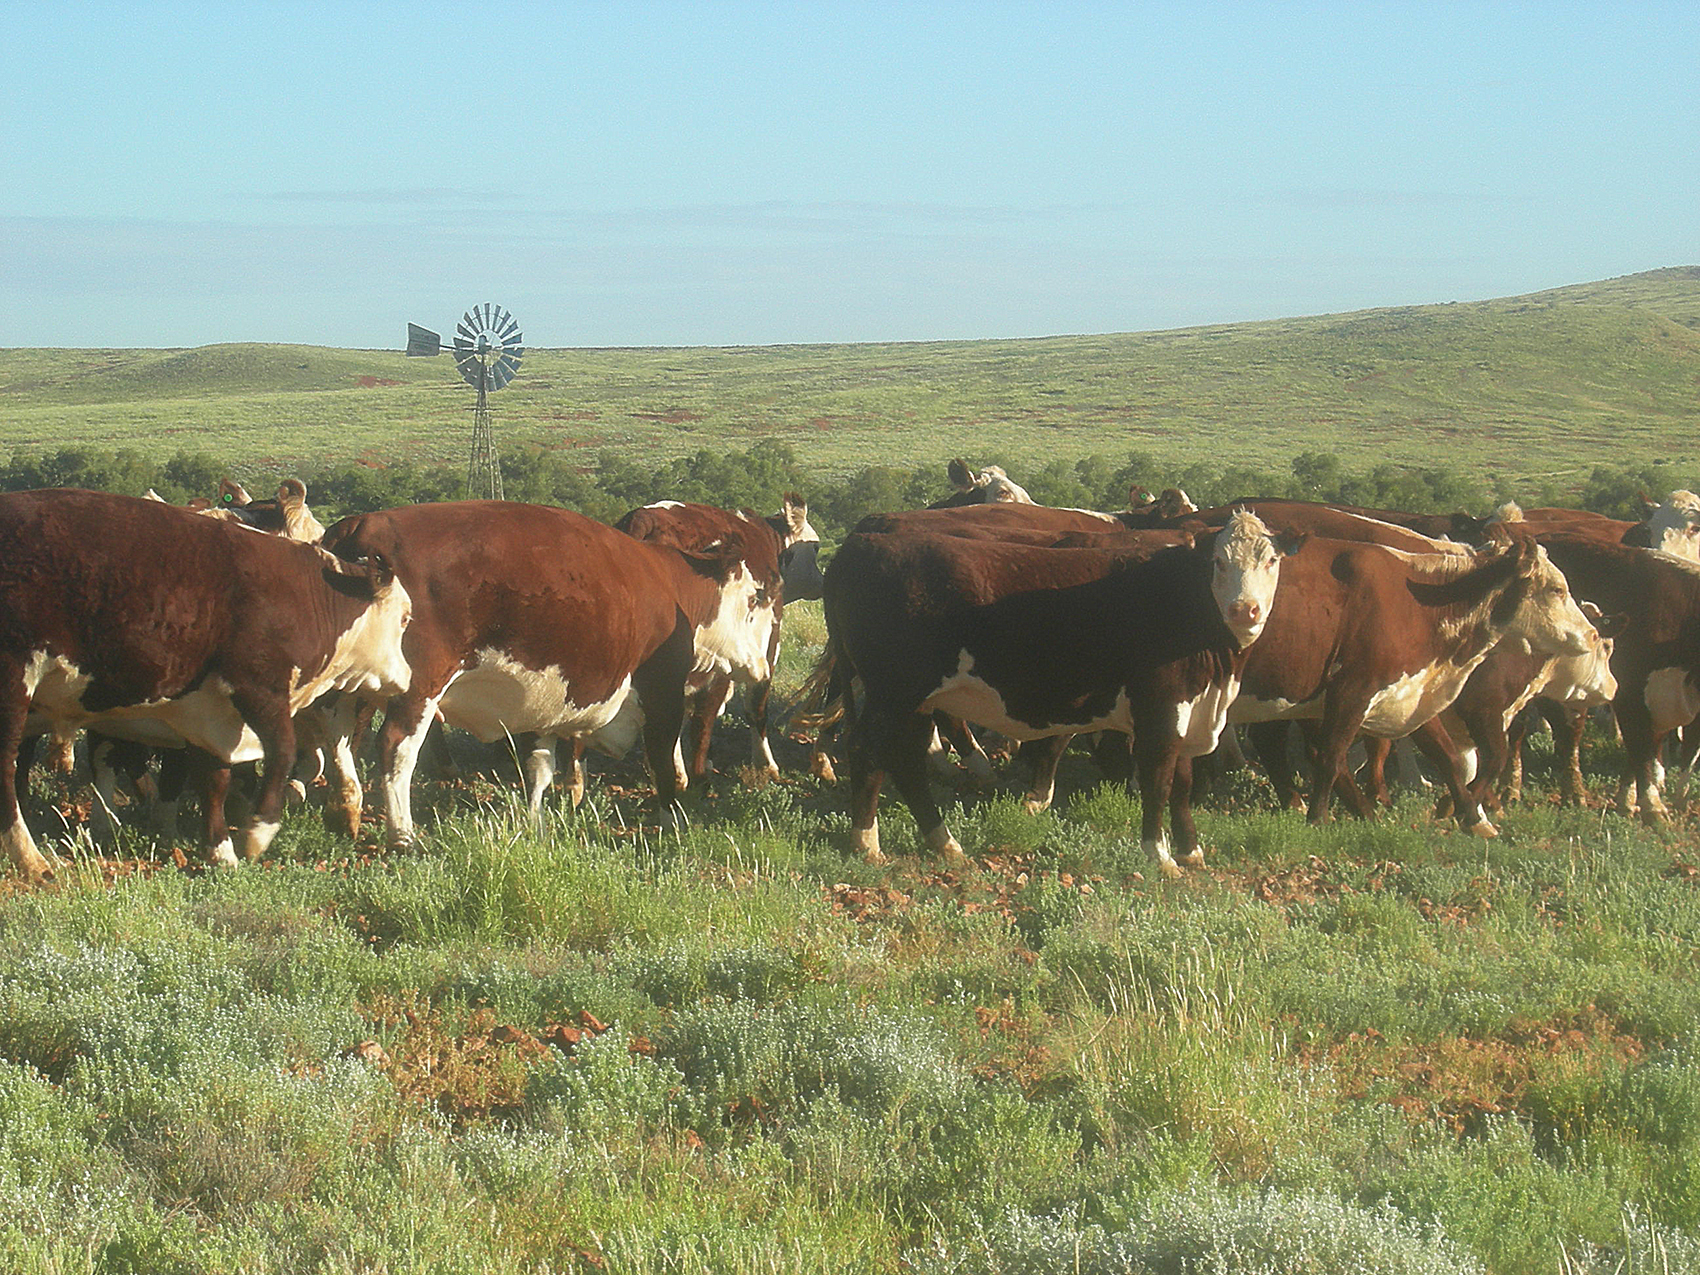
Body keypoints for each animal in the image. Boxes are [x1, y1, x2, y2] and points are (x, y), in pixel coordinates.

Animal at [0, 489, 411, 877]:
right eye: (406, 618)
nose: (407, 679)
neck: (307, 597)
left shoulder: (211, 713)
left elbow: (214, 781)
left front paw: (220, 851)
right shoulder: (259, 691)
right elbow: (282, 753)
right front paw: (257, 832)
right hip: (14, 688)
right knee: (9, 768)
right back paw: (31, 858)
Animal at [319, 503, 782, 850]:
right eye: (755, 596)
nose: (763, 666)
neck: (671, 585)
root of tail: (360, 525)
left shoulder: (539, 708)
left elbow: (539, 768)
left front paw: (536, 823)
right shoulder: (662, 694)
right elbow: (664, 761)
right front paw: (672, 818)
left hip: (345, 688)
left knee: (339, 737)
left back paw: (345, 811)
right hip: (419, 689)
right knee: (395, 749)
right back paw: (403, 835)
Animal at [618, 496, 822, 778]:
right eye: (816, 549)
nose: (823, 580)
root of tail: (642, 518)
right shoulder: (767, 644)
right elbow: (755, 705)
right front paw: (765, 764)